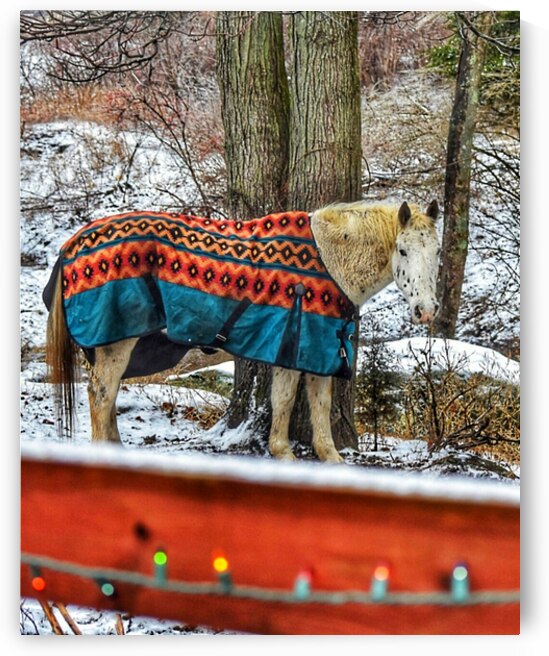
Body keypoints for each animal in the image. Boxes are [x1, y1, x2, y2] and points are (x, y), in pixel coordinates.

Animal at [45, 199, 440, 463]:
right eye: (402, 250)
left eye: (436, 251)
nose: (427, 310)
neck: (331, 261)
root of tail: (71, 245)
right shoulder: (293, 346)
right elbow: (285, 402)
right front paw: (283, 454)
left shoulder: (321, 350)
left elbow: (320, 409)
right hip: (116, 342)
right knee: (101, 395)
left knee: (106, 396)